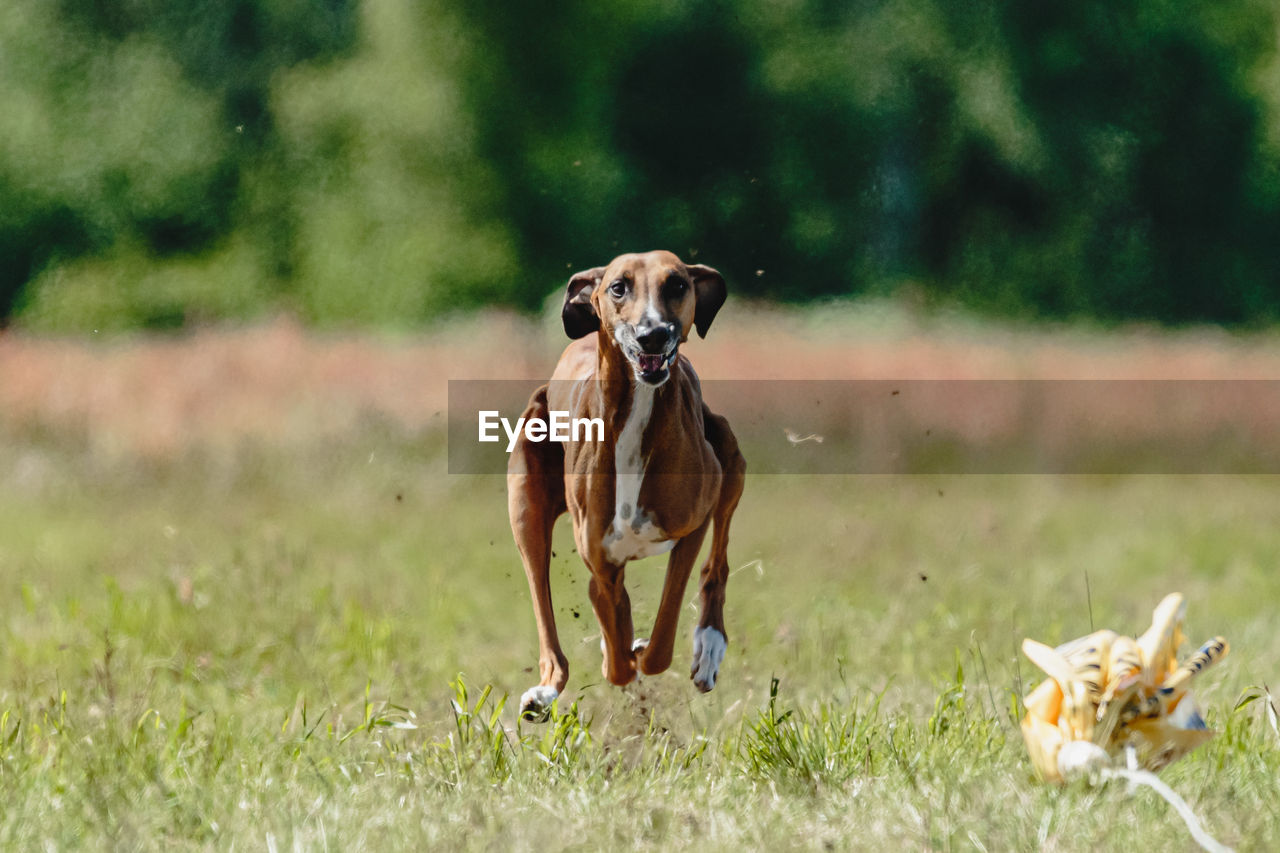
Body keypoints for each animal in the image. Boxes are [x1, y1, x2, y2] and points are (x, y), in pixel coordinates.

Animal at [506, 247, 747, 717]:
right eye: (619, 287)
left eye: (677, 284)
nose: (653, 335)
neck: (636, 411)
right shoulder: (601, 559)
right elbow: (616, 652)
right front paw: (620, 654)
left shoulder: (693, 524)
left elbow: (661, 638)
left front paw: (647, 651)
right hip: (525, 503)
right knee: (547, 609)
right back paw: (546, 689)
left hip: (729, 455)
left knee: (717, 564)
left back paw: (708, 647)